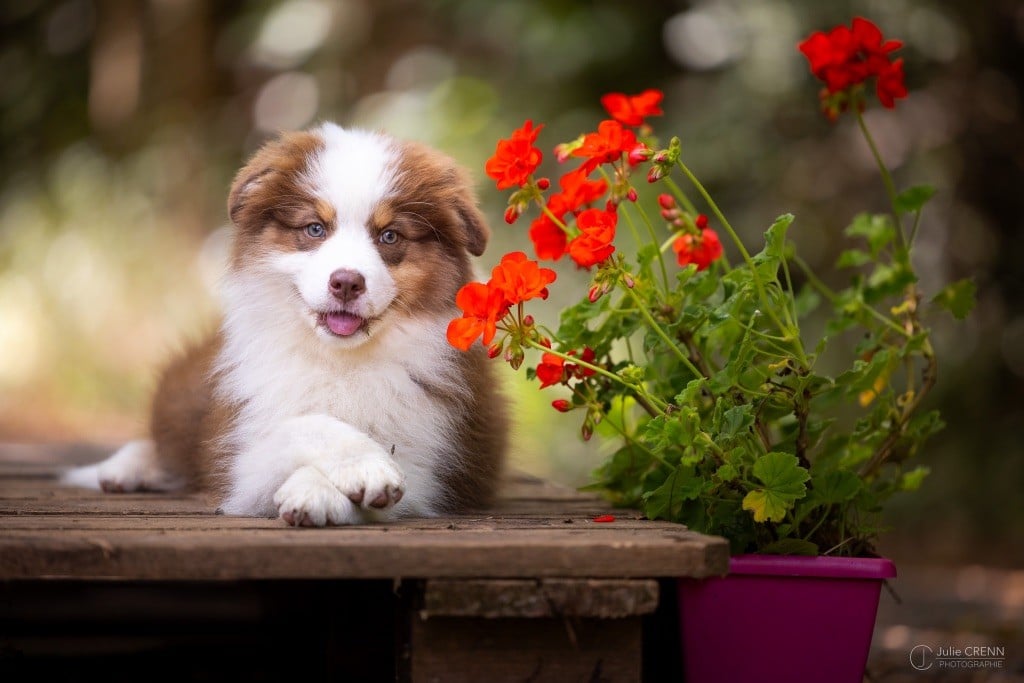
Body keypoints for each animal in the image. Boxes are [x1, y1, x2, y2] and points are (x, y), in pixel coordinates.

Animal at [64, 122, 507, 528]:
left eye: (390, 236)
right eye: (315, 228)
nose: (346, 282)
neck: (340, 361)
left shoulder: (437, 458)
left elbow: (396, 466)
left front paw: (319, 491)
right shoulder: (237, 448)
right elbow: (298, 425)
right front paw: (362, 465)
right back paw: (124, 468)